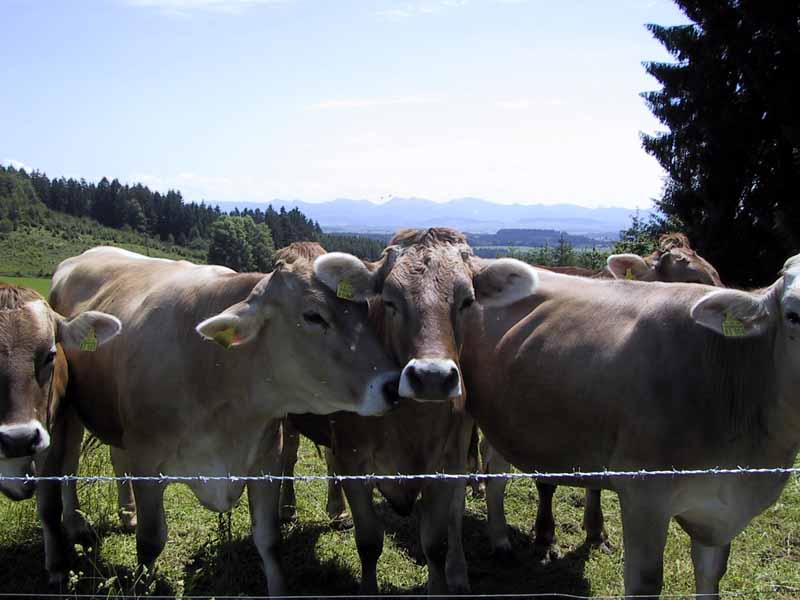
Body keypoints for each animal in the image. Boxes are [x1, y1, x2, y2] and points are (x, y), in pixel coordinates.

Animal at [38, 246, 400, 592]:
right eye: (313, 315)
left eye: (365, 311)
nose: (393, 384)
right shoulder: (146, 463)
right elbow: (151, 542)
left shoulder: (265, 461)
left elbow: (269, 540)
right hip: (70, 412)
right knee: (69, 466)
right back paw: (77, 524)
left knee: (115, 457)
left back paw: (127, 514)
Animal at [460, 258, 800, 600]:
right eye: (793, 315)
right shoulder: (644, 494)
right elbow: (645, 582)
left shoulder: (717, 513)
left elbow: (711, 577)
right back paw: (500, 542)